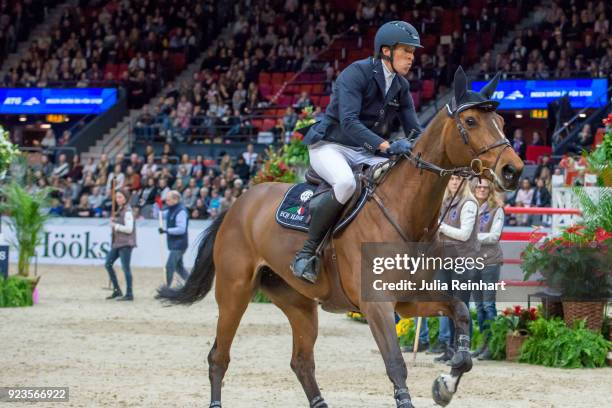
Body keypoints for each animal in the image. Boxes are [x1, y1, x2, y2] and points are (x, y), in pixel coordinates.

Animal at [157, 68, 520, 406]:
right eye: (471, 121)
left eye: (501, 120)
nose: (513, 170)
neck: (406, 214)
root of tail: (238, 204)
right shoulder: (377, 306)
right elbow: (395, 364)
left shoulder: (409, 301)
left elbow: (461, 314)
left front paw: (445, 384)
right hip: (235, 291)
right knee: (219, 356)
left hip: (298, 303)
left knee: (301, 362)